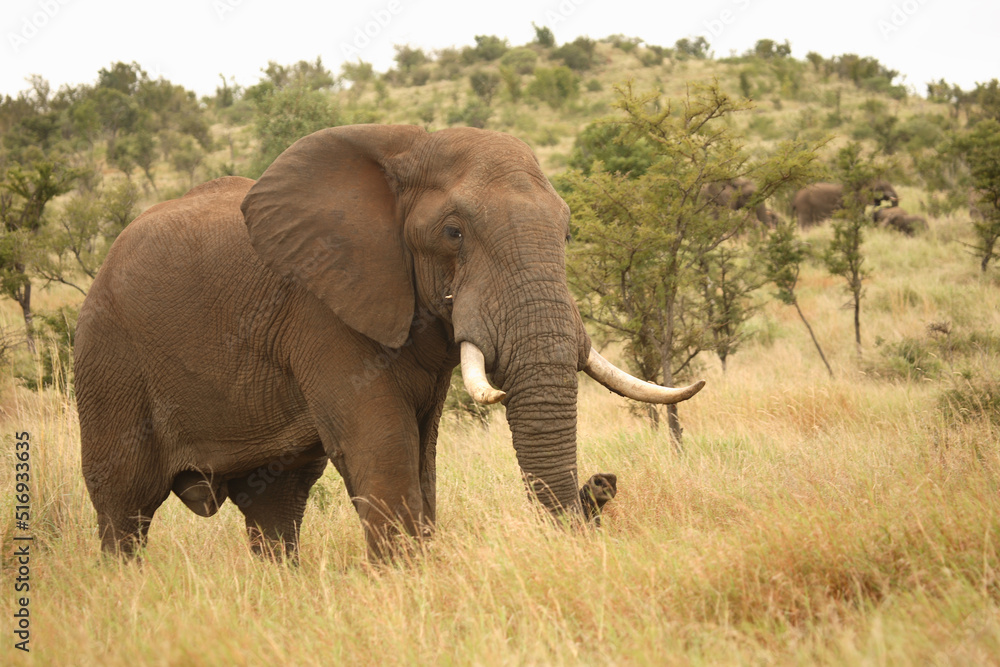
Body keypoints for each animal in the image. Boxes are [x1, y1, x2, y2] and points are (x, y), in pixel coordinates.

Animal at [76, 124, 704, 560]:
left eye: (569, 232)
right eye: (453, 233)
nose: (602, 484)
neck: (409, 153)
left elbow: (421, 453)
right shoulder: (323, 310)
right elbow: (381, 445)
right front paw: (407, 579)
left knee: (276, 506)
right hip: (109, 362)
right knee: (124, 509)